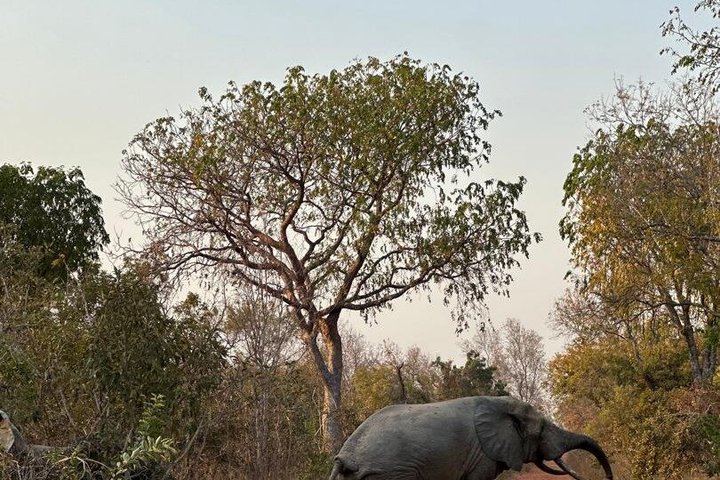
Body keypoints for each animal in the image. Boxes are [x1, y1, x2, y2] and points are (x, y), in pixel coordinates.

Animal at [329, 396, 613, 480]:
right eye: (541, 429)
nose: (608, 477)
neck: (499, 403)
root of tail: (347, 457)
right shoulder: (482, 456)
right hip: (393, 474)